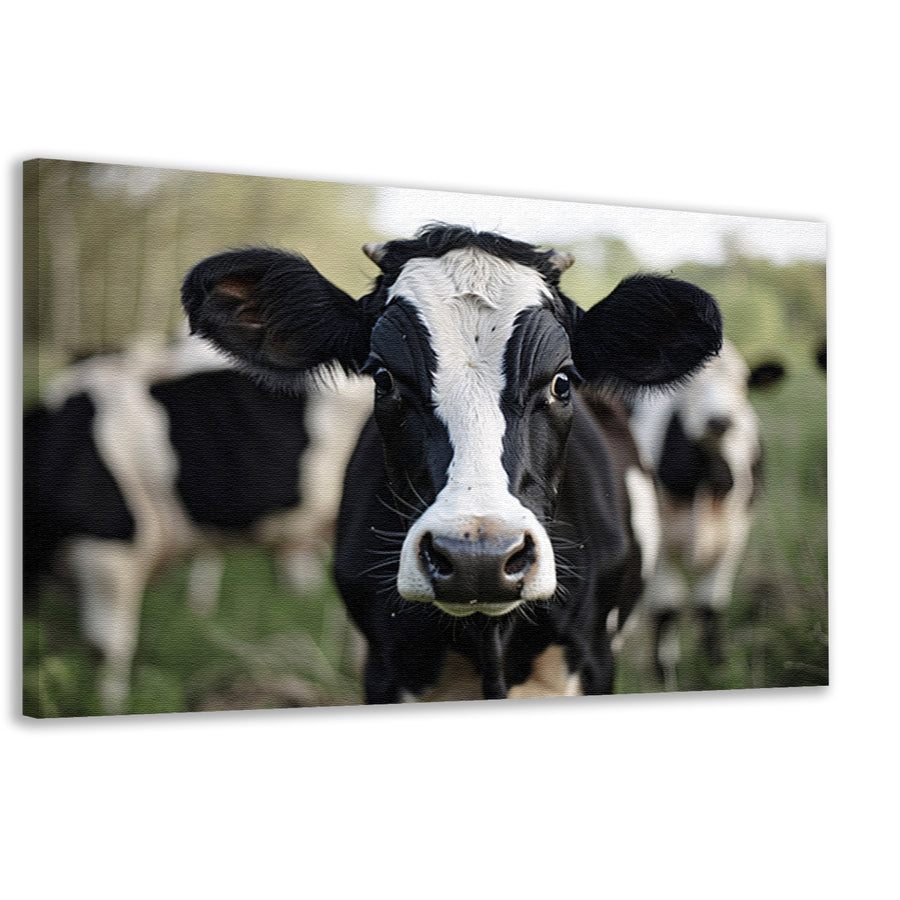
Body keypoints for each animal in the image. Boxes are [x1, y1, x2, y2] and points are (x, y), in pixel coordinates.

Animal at [627, 339, 785, 687]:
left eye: (742, 384)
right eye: (687, 382)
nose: (719, 421)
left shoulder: (735, 534)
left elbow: (709, 605)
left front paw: (718, 667)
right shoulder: (659, 542)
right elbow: (667, 607)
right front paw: (664, 674)